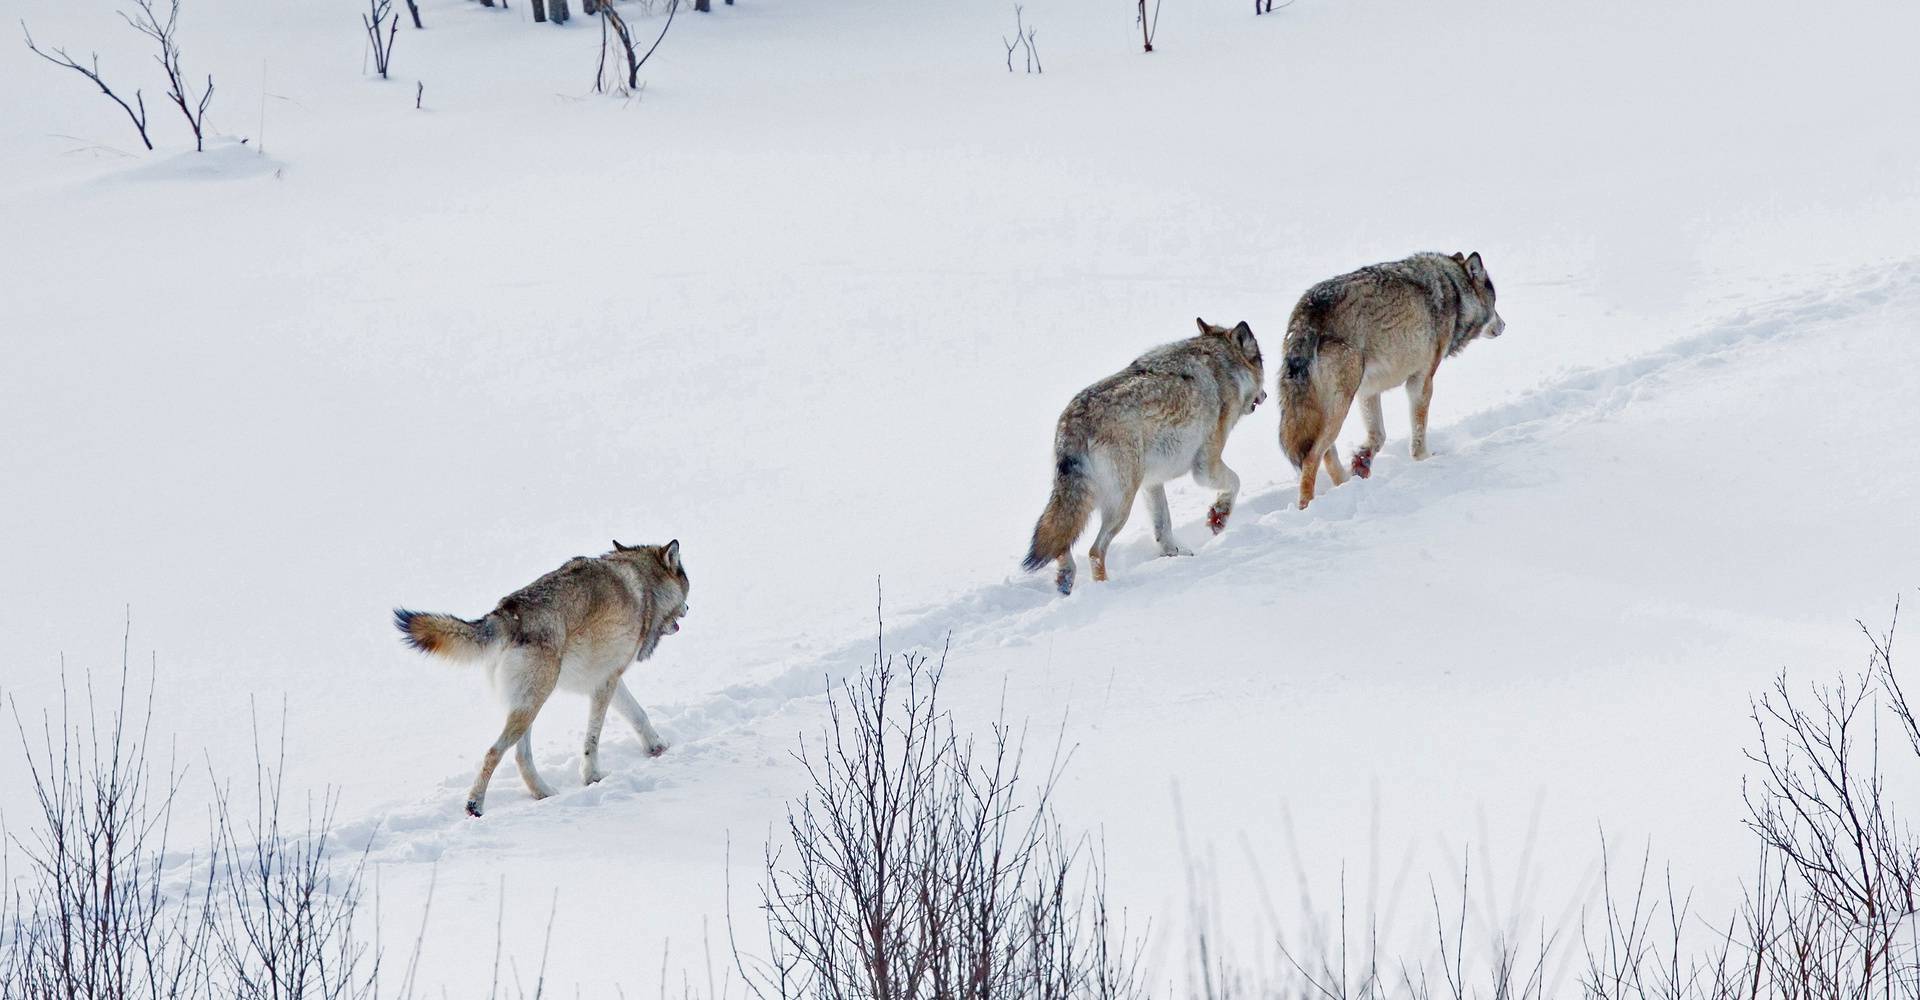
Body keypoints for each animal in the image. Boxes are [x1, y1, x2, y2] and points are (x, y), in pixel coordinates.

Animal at [389, 541, 691, 813]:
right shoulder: (606, 683)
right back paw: (475, 805)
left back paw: (542, 793)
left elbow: (639, 715)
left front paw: (657, 747)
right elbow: (592, 739)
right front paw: (592, 777)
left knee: (520, 756)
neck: (645, 586)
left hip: (526, 705)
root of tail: (505, 612)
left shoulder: (607, 678)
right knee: (494, 752)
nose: (689, 609)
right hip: (535, 701)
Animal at [1021, 318, 1274, 591]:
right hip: (1121, 504)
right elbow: (1235, 482)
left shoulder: (1152, 483)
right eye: (1261, 361)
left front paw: (1176, 554)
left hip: (1091, 500)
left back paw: (1065, 582)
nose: (1266, 395)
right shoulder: (1205, 468)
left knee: (1062, 544)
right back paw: (1104, 587)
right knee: (1094, 551)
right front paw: (1219, 517)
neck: (1223, 364)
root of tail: (1074, 421)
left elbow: (1163, 527)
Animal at [1282, 249, 1505, 506]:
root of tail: (1306, 313)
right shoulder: (1421, 381)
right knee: (1311, 457)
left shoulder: (1368, 391)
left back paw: (1345, 483)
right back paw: (1307, 505)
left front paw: (1362, 462)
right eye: (1495, 304)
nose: (1504, 325)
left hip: (1332, 404)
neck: (1454, 289)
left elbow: (1378, 436)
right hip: (1341, 404)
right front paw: (1425, 458)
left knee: (1325, 453)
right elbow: (1418, 429)